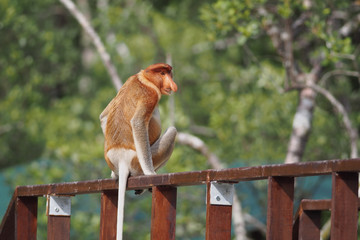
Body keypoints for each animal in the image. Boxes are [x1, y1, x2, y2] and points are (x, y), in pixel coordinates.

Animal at [99, 62, 178, 239]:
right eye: (162, 74)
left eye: (169, 73)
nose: (172, 84)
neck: (144, 78)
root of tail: (121, 157)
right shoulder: (151, 95)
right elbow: (138, 123)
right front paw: (150, 173)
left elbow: (103, 116)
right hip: (138, 161)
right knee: (172, 131)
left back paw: (116, 173)